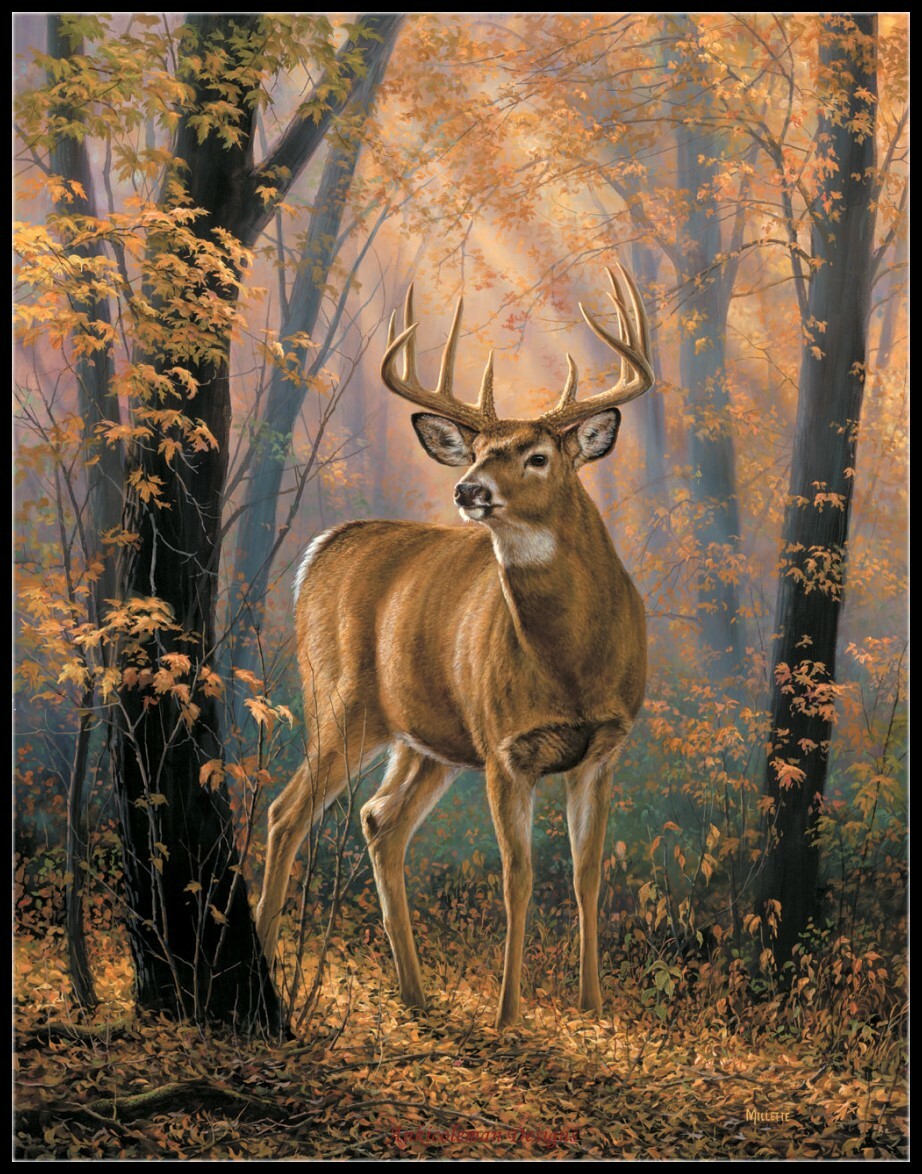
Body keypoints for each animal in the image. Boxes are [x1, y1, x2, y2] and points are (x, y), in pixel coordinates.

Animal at [255, 263, 654, 1029]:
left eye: (537, 456)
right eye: (475, 451)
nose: (469, 489)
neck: (571, 667)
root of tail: (318, 550)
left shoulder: (605, 749)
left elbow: (587, 875)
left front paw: (591, 1006)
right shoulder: (504, 747)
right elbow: (518, 877)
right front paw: (508, 1015)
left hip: (426, 738)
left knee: (380, 821)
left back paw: (414, 992)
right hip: (340, 699)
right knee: (286, 813)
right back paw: (260, 964)